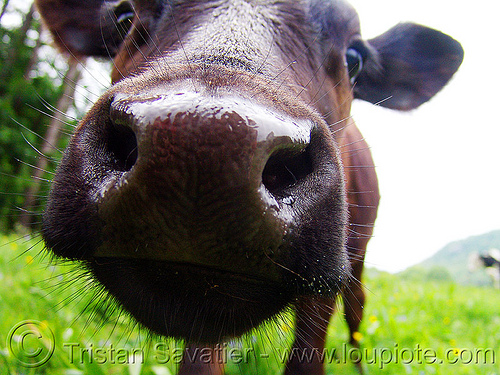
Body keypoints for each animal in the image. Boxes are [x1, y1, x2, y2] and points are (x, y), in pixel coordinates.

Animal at [35, 1, 464, 374]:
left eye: (354, 57)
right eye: (125, 17)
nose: (204, 141)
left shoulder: (323, 290)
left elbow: (307, 360)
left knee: (357, 312)